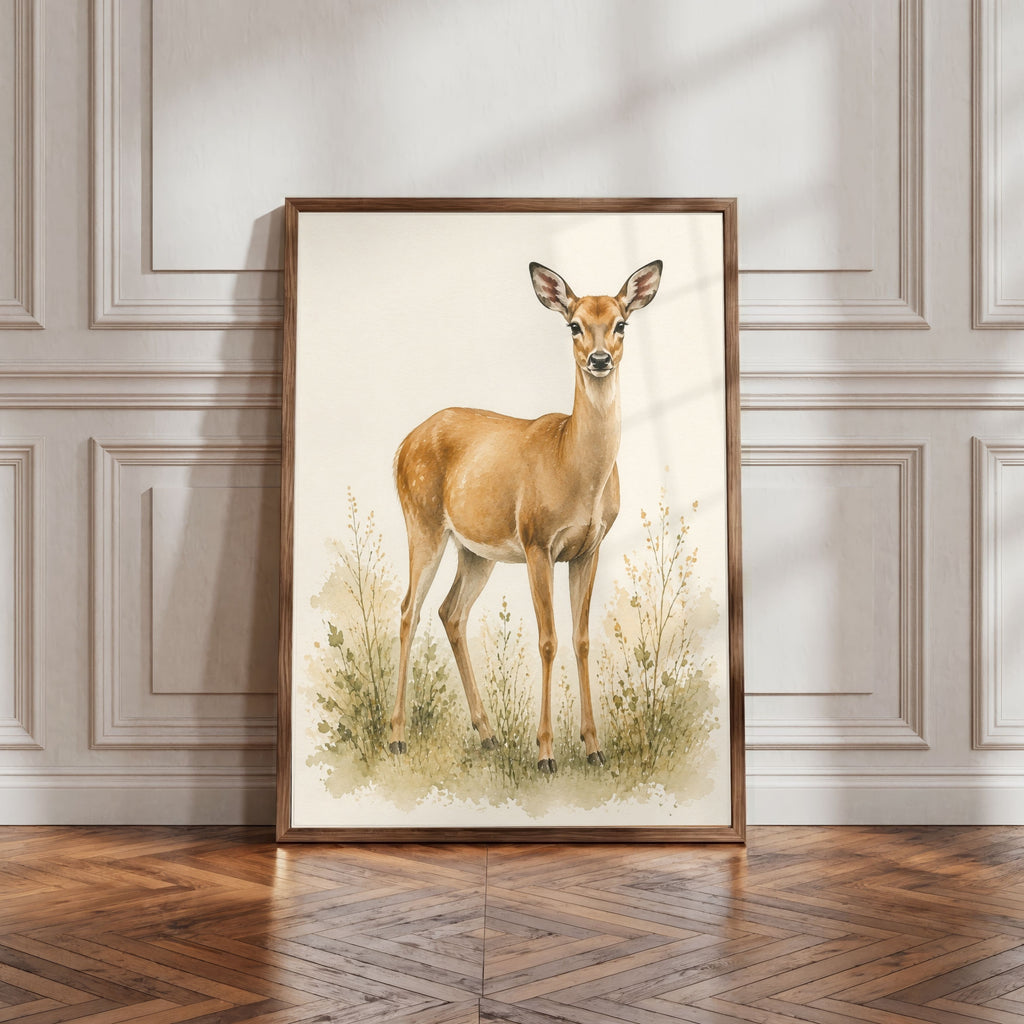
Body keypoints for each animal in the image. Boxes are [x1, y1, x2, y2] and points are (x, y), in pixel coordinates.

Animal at [390, 259, 662, 772]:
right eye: (574, 325)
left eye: (621, 323)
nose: (600, 359)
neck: (573, 465)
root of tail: (401, 446)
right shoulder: (539, 542)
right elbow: (548, 639)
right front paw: (546, 753)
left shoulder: (588, 548)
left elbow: (580, 638)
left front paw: (594, 747)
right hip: (423, 522)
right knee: (408, 609)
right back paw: (396, 737)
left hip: (476, 551)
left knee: (450, 612)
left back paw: (488, 734)